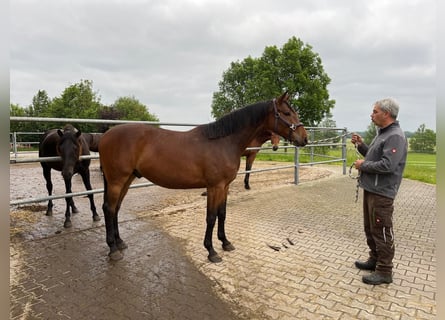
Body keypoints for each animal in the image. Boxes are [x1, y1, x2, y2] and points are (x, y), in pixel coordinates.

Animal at [98, 92, 306, 262]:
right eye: (286, 113)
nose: (304, 139)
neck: (223, 142)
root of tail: (106, 135)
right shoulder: (214, 186)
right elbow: (211, 217)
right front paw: (211, 251)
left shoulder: (225, 186)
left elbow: (222, 214)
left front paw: (225, 243)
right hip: (117, 181)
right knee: (109, 209)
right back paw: (113, 250)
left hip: (126, 180)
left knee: (116, 209)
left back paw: (120, 242)